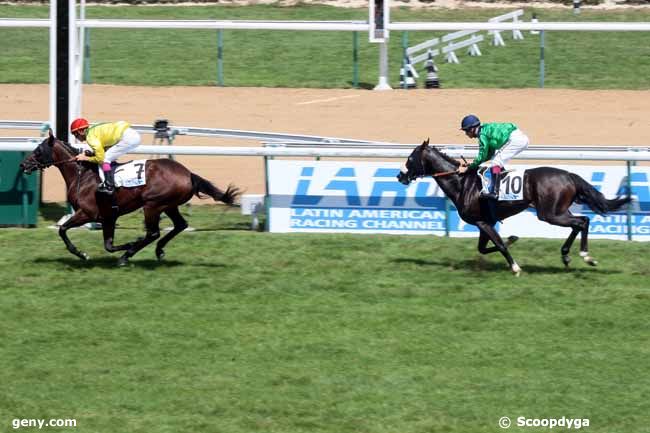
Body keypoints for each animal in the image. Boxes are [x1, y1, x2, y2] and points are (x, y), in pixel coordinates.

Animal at [20, 130, 239, 264]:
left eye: (38, 150)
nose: (23, 164)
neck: (82, 175)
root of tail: (188, 174)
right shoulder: (108, 216)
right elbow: (108, 245)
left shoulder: (87, 213)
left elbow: (63, 230)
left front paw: (83, 254)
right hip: (169, 205)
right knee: (179, 225)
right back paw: (157, 250)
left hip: (152, 205)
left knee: (153, 233)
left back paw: (128, 255)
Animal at [394, 138, 628, 274]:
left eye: (410, 158)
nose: (399, 176)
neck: (462, 184)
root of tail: (569, 175)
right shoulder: (485, 222)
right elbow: (484, 247)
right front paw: (513, 238)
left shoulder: (481, 221)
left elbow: (498, 245)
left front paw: (515, 267)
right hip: (559, 210)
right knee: (578, 223)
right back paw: (567, 255)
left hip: (549, 213)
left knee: (582, 221)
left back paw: (585, 256)